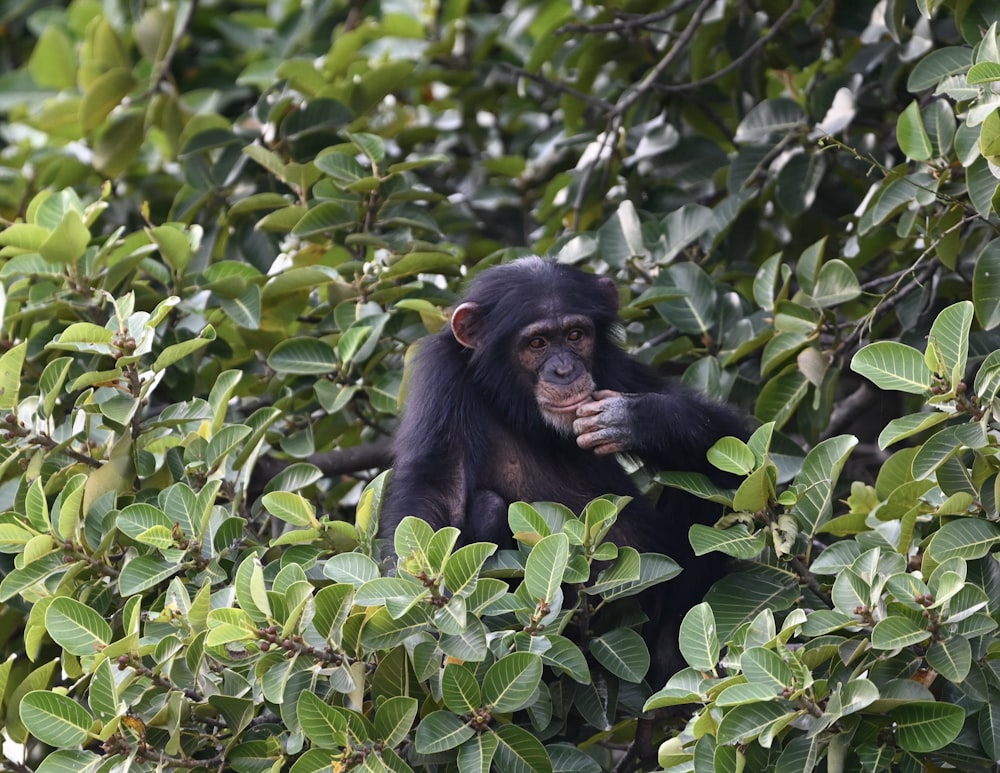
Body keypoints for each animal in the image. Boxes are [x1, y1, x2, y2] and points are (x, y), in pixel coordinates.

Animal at [378, 260, 748, 680]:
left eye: (575, 335)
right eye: (537, 343)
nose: (564, 369)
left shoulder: (613, 365)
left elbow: (735, 442)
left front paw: (637, 419)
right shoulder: (443, 380)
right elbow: (438, 488)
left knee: (709, 483)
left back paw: (671, 655)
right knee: (489, 507)